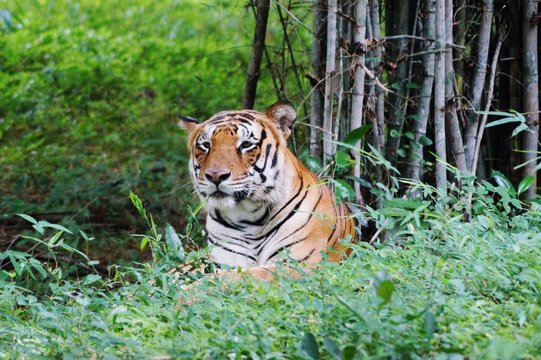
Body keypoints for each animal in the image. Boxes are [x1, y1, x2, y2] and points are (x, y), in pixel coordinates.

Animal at [178, 101, 354, 282]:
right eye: (206, 145)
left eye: (246, 144)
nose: (215, 176)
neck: (249, 217)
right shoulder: (223, 261)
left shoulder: (299, 266)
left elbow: (236, 277)